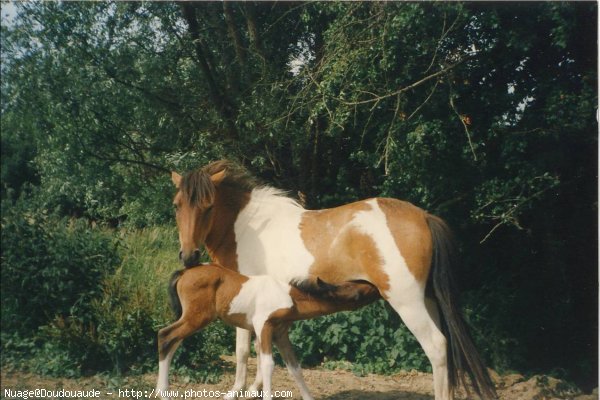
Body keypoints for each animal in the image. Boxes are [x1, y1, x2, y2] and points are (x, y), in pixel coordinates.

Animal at [157, 264, 378, 398]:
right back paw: (162, 392)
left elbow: (294, 367)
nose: (378, 287)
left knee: (172, 341)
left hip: (190, 319)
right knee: (165, 336)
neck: (291, 297)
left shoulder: (280, 333)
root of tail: (184, 272)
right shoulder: (263, 325)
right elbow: (268, 364)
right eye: (364, 288)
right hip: (196, 318)